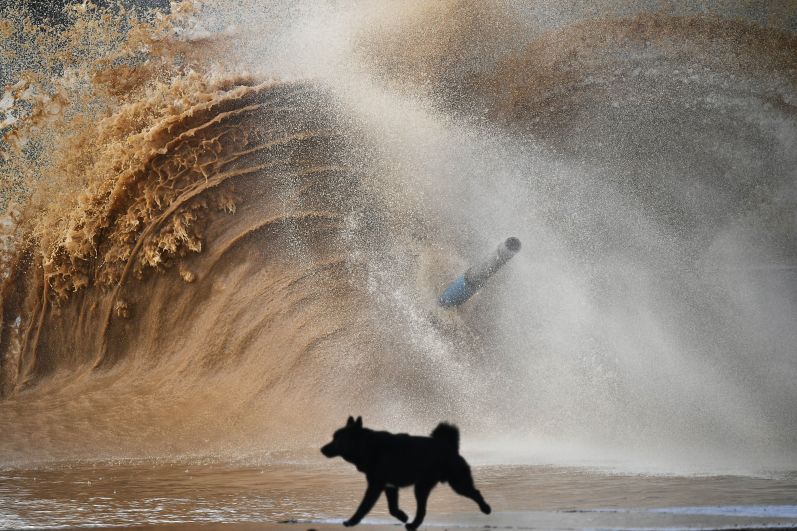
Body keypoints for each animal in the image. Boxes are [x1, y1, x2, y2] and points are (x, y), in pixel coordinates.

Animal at [320, 418, 488, 528]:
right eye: (333, 437)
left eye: (338, 439)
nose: (322, 449)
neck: (368, 447)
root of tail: (449, 446)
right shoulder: (389, 486)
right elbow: (392, 508)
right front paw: (403, 516)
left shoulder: (376, 485)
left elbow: (363, 506)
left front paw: (351, 522)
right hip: (423, 487)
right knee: (422, 511)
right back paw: (412, 525)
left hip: (455, 484)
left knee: (476, 492)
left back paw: (486, 509)